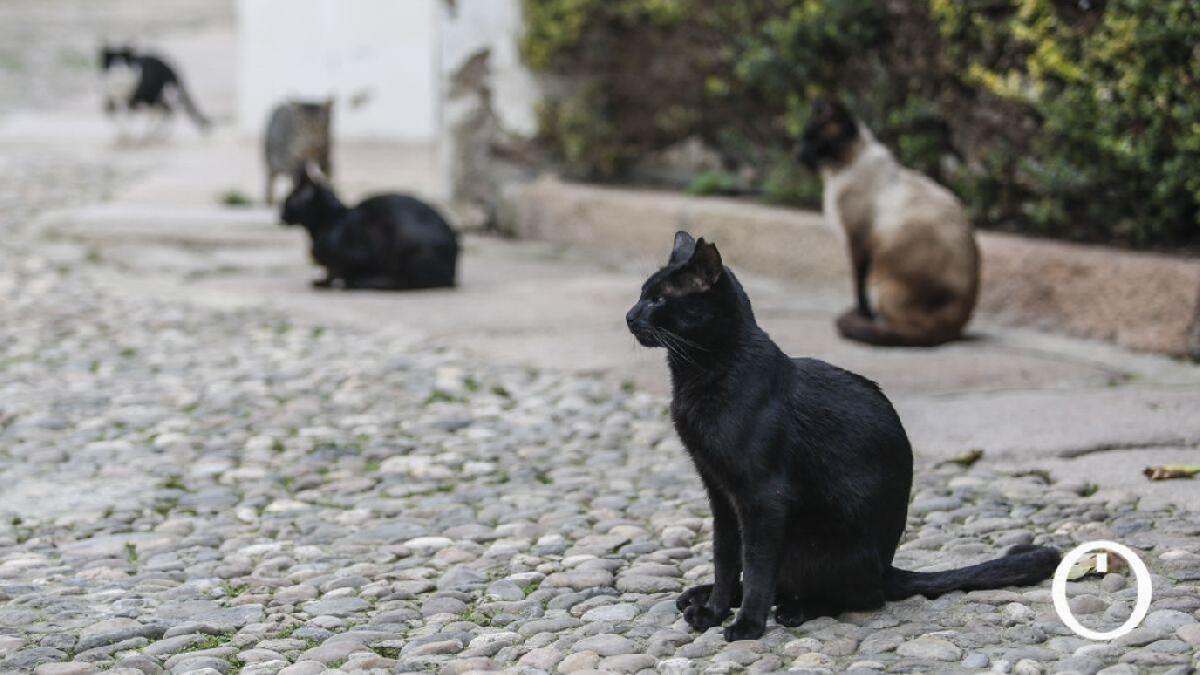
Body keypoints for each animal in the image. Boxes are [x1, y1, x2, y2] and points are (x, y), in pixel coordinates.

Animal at [280, 165, 458, 289]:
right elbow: (330, 272)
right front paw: (325, 282)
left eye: (287, 201)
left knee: (407, 282)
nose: (280, 216)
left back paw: (366, 282)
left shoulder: (358, 254)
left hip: (408, 247)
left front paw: (329, 284)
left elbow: (337, 270)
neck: (332, 221)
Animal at [624, 234, 1056, 638]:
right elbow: (725, 558)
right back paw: (702, 596)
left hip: (811, 542)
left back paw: (796, 609)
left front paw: (747, 624)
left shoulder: (763, 498)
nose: (629, 315)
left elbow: (757, 566)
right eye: (642, 293)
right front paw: (714, 610)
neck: (699, 374)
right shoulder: (720, 492)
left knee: (859, 596)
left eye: (658, 299)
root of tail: (886, 566)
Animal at [796, 99, 974, 345]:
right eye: (804, 138)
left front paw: (863, 314)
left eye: (815, 141)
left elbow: (859, 286)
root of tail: (954, 328)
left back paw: (871, 324)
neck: (838, 172)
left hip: (885, 288)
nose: (798, 153)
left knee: (906, 328)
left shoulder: (858, 240)